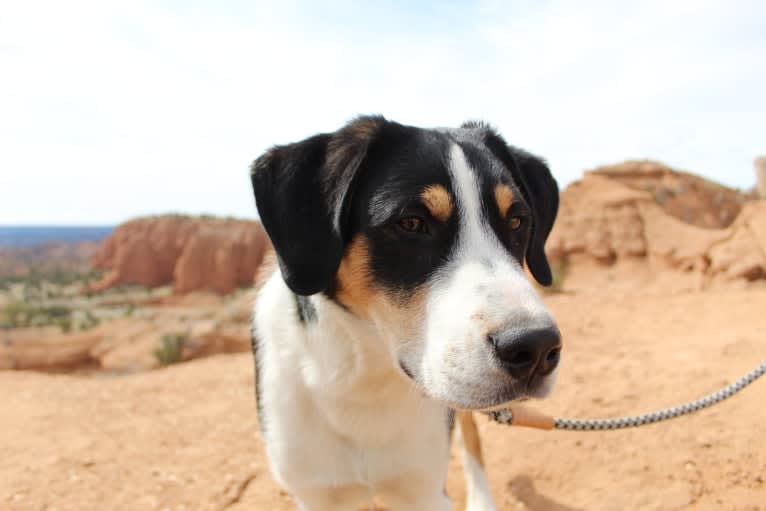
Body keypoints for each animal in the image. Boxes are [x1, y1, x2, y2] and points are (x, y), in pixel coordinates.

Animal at [252, 117, 564, 511]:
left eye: (518, 222)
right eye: (412, 223)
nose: (537, 347)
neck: (366, 381)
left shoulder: (424, 490)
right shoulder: (317, 495)